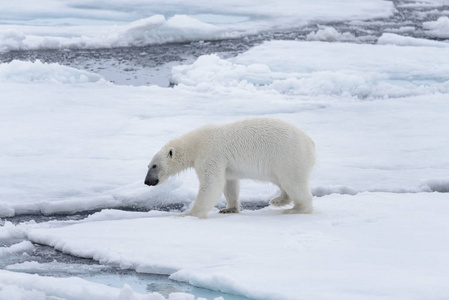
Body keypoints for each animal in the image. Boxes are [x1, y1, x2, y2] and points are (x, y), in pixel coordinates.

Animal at [145, 117, 314, 218]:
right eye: (148, 165)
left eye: (154, 165)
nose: (147, 181)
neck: (195, 145)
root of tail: (310, 142)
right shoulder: (226, 165)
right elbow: (229, 183)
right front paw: (229, 209)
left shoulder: (210, 154)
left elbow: (212, 183)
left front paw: (189, 214)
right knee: (281, 181)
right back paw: (278, 200)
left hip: (288, 156)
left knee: (293, 182)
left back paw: (296, 209)